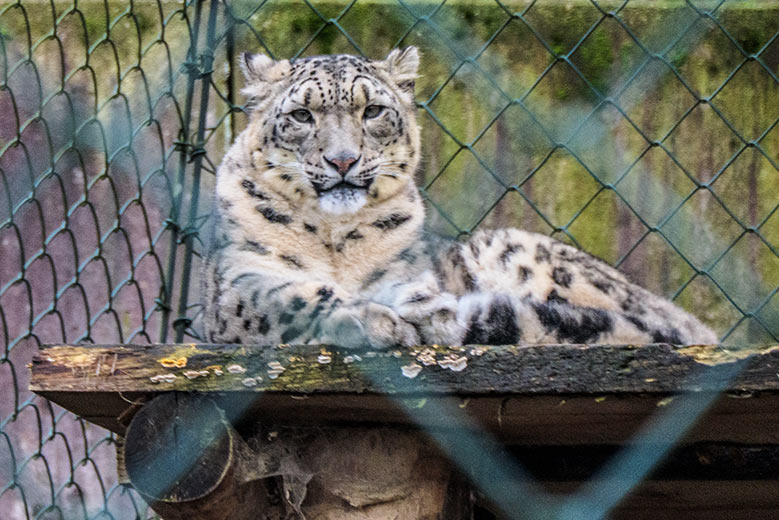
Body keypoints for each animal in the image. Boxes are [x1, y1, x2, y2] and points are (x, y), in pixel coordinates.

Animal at [203, 47, 720, 350]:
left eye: (373, 110)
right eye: (302, 115)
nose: (343, 160)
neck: (335, 240)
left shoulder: (409, 270)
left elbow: (409, 288)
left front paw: (420, 308)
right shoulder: (235, 284)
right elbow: (287, 299)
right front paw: (372, 318)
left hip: (510, 250)